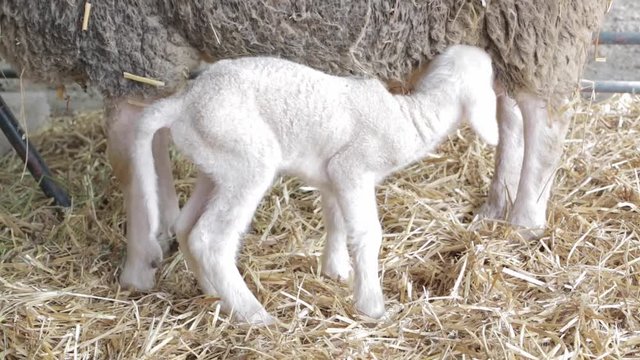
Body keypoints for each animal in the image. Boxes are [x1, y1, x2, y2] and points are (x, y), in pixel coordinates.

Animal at [0, 0, 608, 292]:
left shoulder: (126, 44)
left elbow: (130, 164)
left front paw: (136, 267)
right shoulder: (147, 60)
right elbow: (155, 148)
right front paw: (162, 232)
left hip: (540, 20)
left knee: (544, 117)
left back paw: (525, 220)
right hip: (496, 26)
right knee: (507, 110)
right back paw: (495, 206)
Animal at [130, 44, 500, 324]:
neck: (410, 118)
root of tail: (183, 103)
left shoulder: (332, 177)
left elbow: (336, 222)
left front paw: (335, 270)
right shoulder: (352, 168)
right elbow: (367, 233)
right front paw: (372, 305)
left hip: (217, 162)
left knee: (185, 226)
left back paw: (215, 295)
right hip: (247, 161)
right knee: (210, 239)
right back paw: (254, 314)